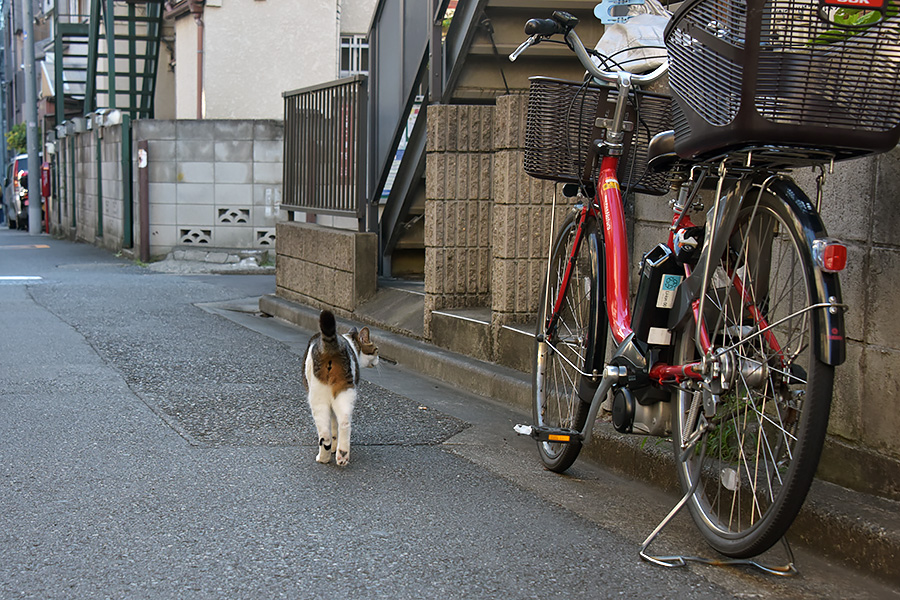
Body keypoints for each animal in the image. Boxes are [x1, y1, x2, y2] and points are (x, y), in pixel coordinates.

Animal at [298, 310, 376, 468]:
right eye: (376, 349)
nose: (379, 358)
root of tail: (331, 348)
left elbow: (332, 427)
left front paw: (333, 448)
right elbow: (336, 426)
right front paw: (335, 447)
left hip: (317, 396)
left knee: (324, 434)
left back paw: (323, 457)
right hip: (345, 391)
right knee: (345, 423)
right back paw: (342, 455)